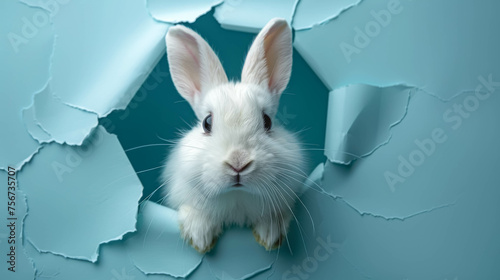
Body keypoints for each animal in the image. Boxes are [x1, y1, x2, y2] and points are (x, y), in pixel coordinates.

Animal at [163, 18, 304, 253]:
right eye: (207, 123)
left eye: (267, 121)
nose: (238, 163)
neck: (238, 196)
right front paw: (199, 237)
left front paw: (270, 236)